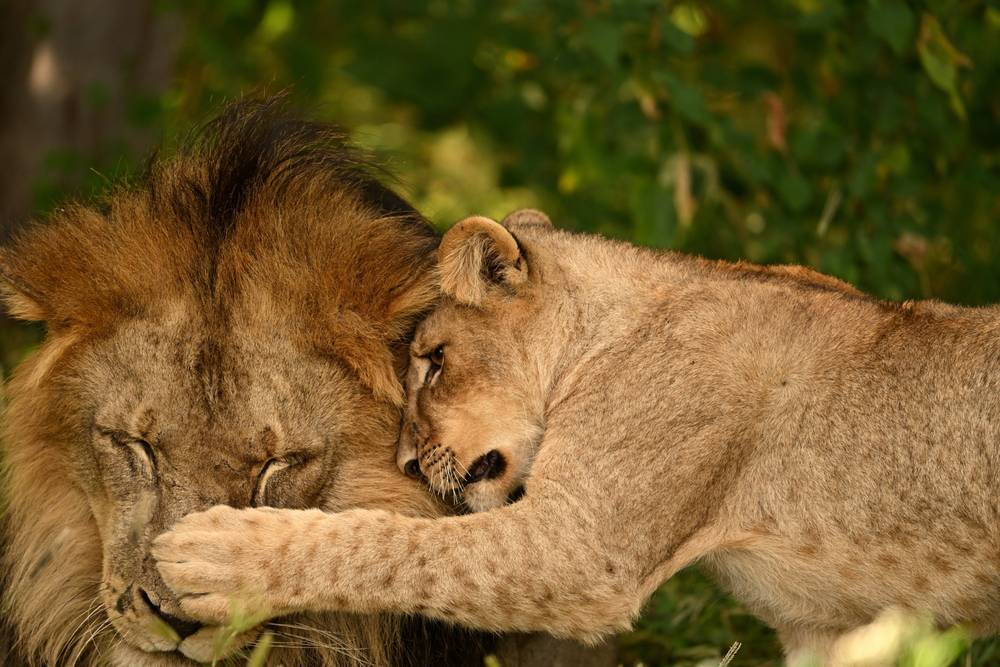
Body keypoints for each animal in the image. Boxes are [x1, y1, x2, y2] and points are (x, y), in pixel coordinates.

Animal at [153, 211, 999, 665]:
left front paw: (216, 555)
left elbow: (389, 546)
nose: (405, 459)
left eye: (433, 360)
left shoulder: (581, 546)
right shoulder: (830, 628)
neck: (603, 339)